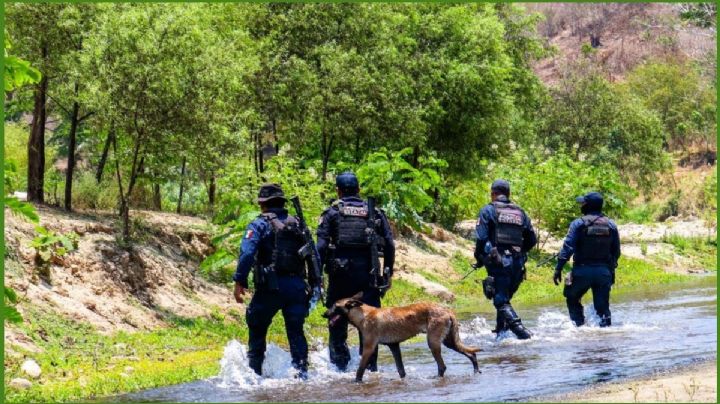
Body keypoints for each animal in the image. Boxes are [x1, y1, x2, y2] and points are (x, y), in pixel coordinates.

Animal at [324, 294, 480, 382]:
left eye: (335, 306)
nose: (323, 314)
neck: (363, 315)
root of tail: (447, 310)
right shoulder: (394, 346)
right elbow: (401, 370)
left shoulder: (369, 348)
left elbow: (360, 370)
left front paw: (357, 382)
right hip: (449, 341)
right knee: (471, 354)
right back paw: (476, 371)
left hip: (433, 342)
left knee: (442, 366)